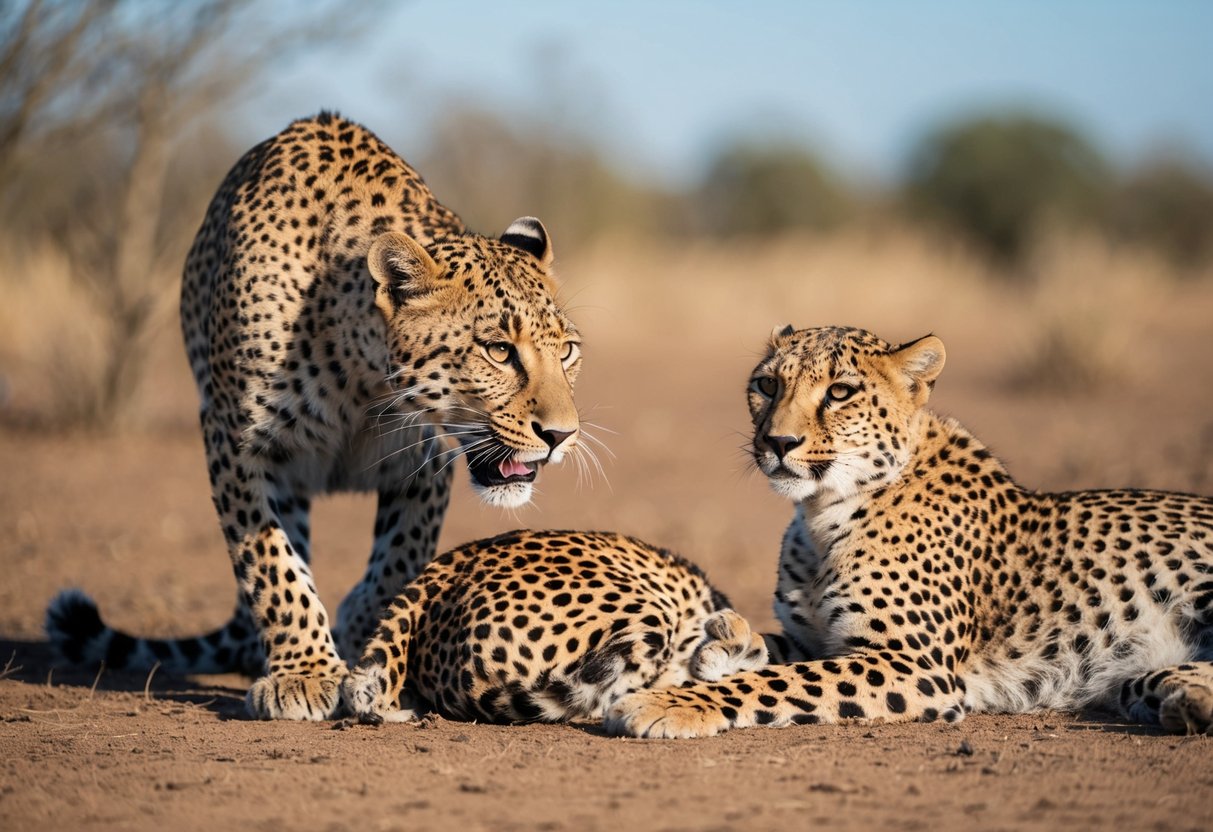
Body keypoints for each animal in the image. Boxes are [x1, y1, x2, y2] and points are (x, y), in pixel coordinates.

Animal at [44, 112, 587, 720]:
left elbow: (399, 560)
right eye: (498, 351)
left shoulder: (422, 463)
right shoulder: (234, 441)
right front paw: (304, 673)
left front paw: (367, 638)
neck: (363, 381)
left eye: (567, 350)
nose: (561, 435)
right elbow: (271, 563)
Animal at [607, 325, 1213, 738]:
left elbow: (779, 682)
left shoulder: (913, 665)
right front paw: (725, 644)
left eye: (840, 392)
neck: (824, 511)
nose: (777, 443)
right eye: (766, 383)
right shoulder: (816, 639)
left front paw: (667, 702)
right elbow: (775, 651)